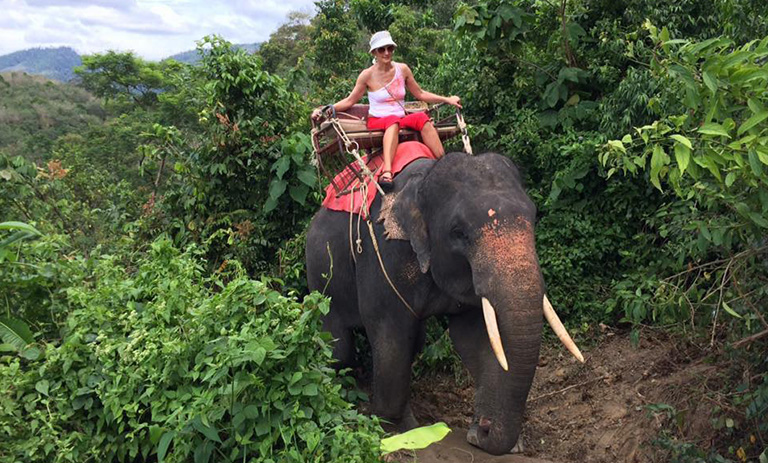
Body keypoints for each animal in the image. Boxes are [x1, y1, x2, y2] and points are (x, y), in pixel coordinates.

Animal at [305, 146, 583, 455]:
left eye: (533, 217)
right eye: (458, 233)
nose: (484, 430)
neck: (424, 179)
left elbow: (474, 338)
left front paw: (491, 437)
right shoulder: (385, 252)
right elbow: (390, 329)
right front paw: (398, 428)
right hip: (319, 268)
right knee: (339, 346)